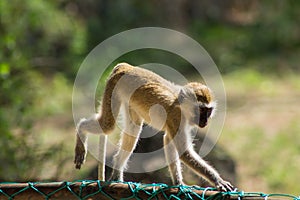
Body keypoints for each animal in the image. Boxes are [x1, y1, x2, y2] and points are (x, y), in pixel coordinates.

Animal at [74, 63, 234, 192]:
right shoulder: (176, 117)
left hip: (127, 98)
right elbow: (184, 152)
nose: (205, 121)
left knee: (133, 129)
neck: (181, 104)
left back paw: (117, 173)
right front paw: (217, 180)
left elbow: (168, 140)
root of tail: (126, 67)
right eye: (201, 110)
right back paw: (81, 131)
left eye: (208, 111)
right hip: (113, 87)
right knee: (108, 125)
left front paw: (178, 183)